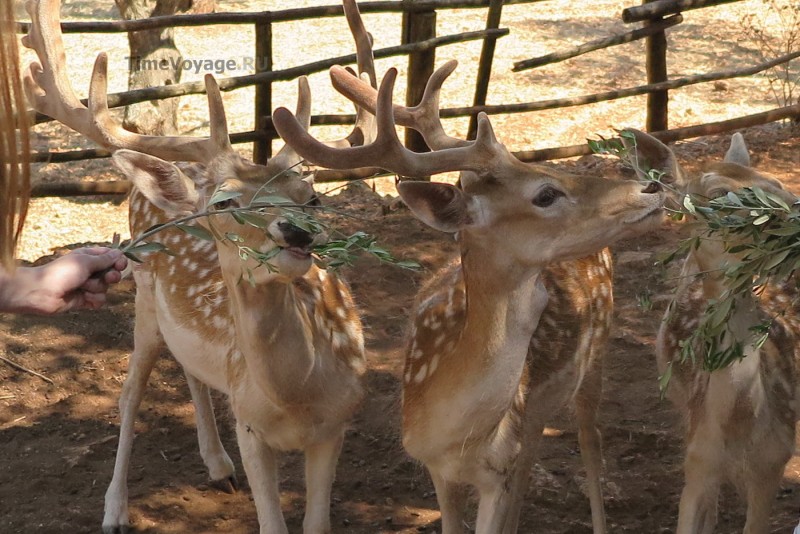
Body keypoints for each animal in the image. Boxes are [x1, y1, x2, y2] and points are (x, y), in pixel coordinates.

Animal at [22, 2, 376, 532]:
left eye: (311, 197)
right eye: (225, 202)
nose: (297, 232)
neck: (295, 397)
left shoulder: (336, 426)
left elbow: (317, 523)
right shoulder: (249, 427)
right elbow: (272, 523)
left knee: (190, 368)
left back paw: (217, 466)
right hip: (144, 300)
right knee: (130, 393)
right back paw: (115, 509)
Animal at [276, 61, 668, 532]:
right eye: (545, 194)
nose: (650, 188)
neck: (459, 435)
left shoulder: (494, 475)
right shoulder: (436, 467)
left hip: (597, 351)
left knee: (590, 440)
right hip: (538, 408)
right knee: (534, 448)